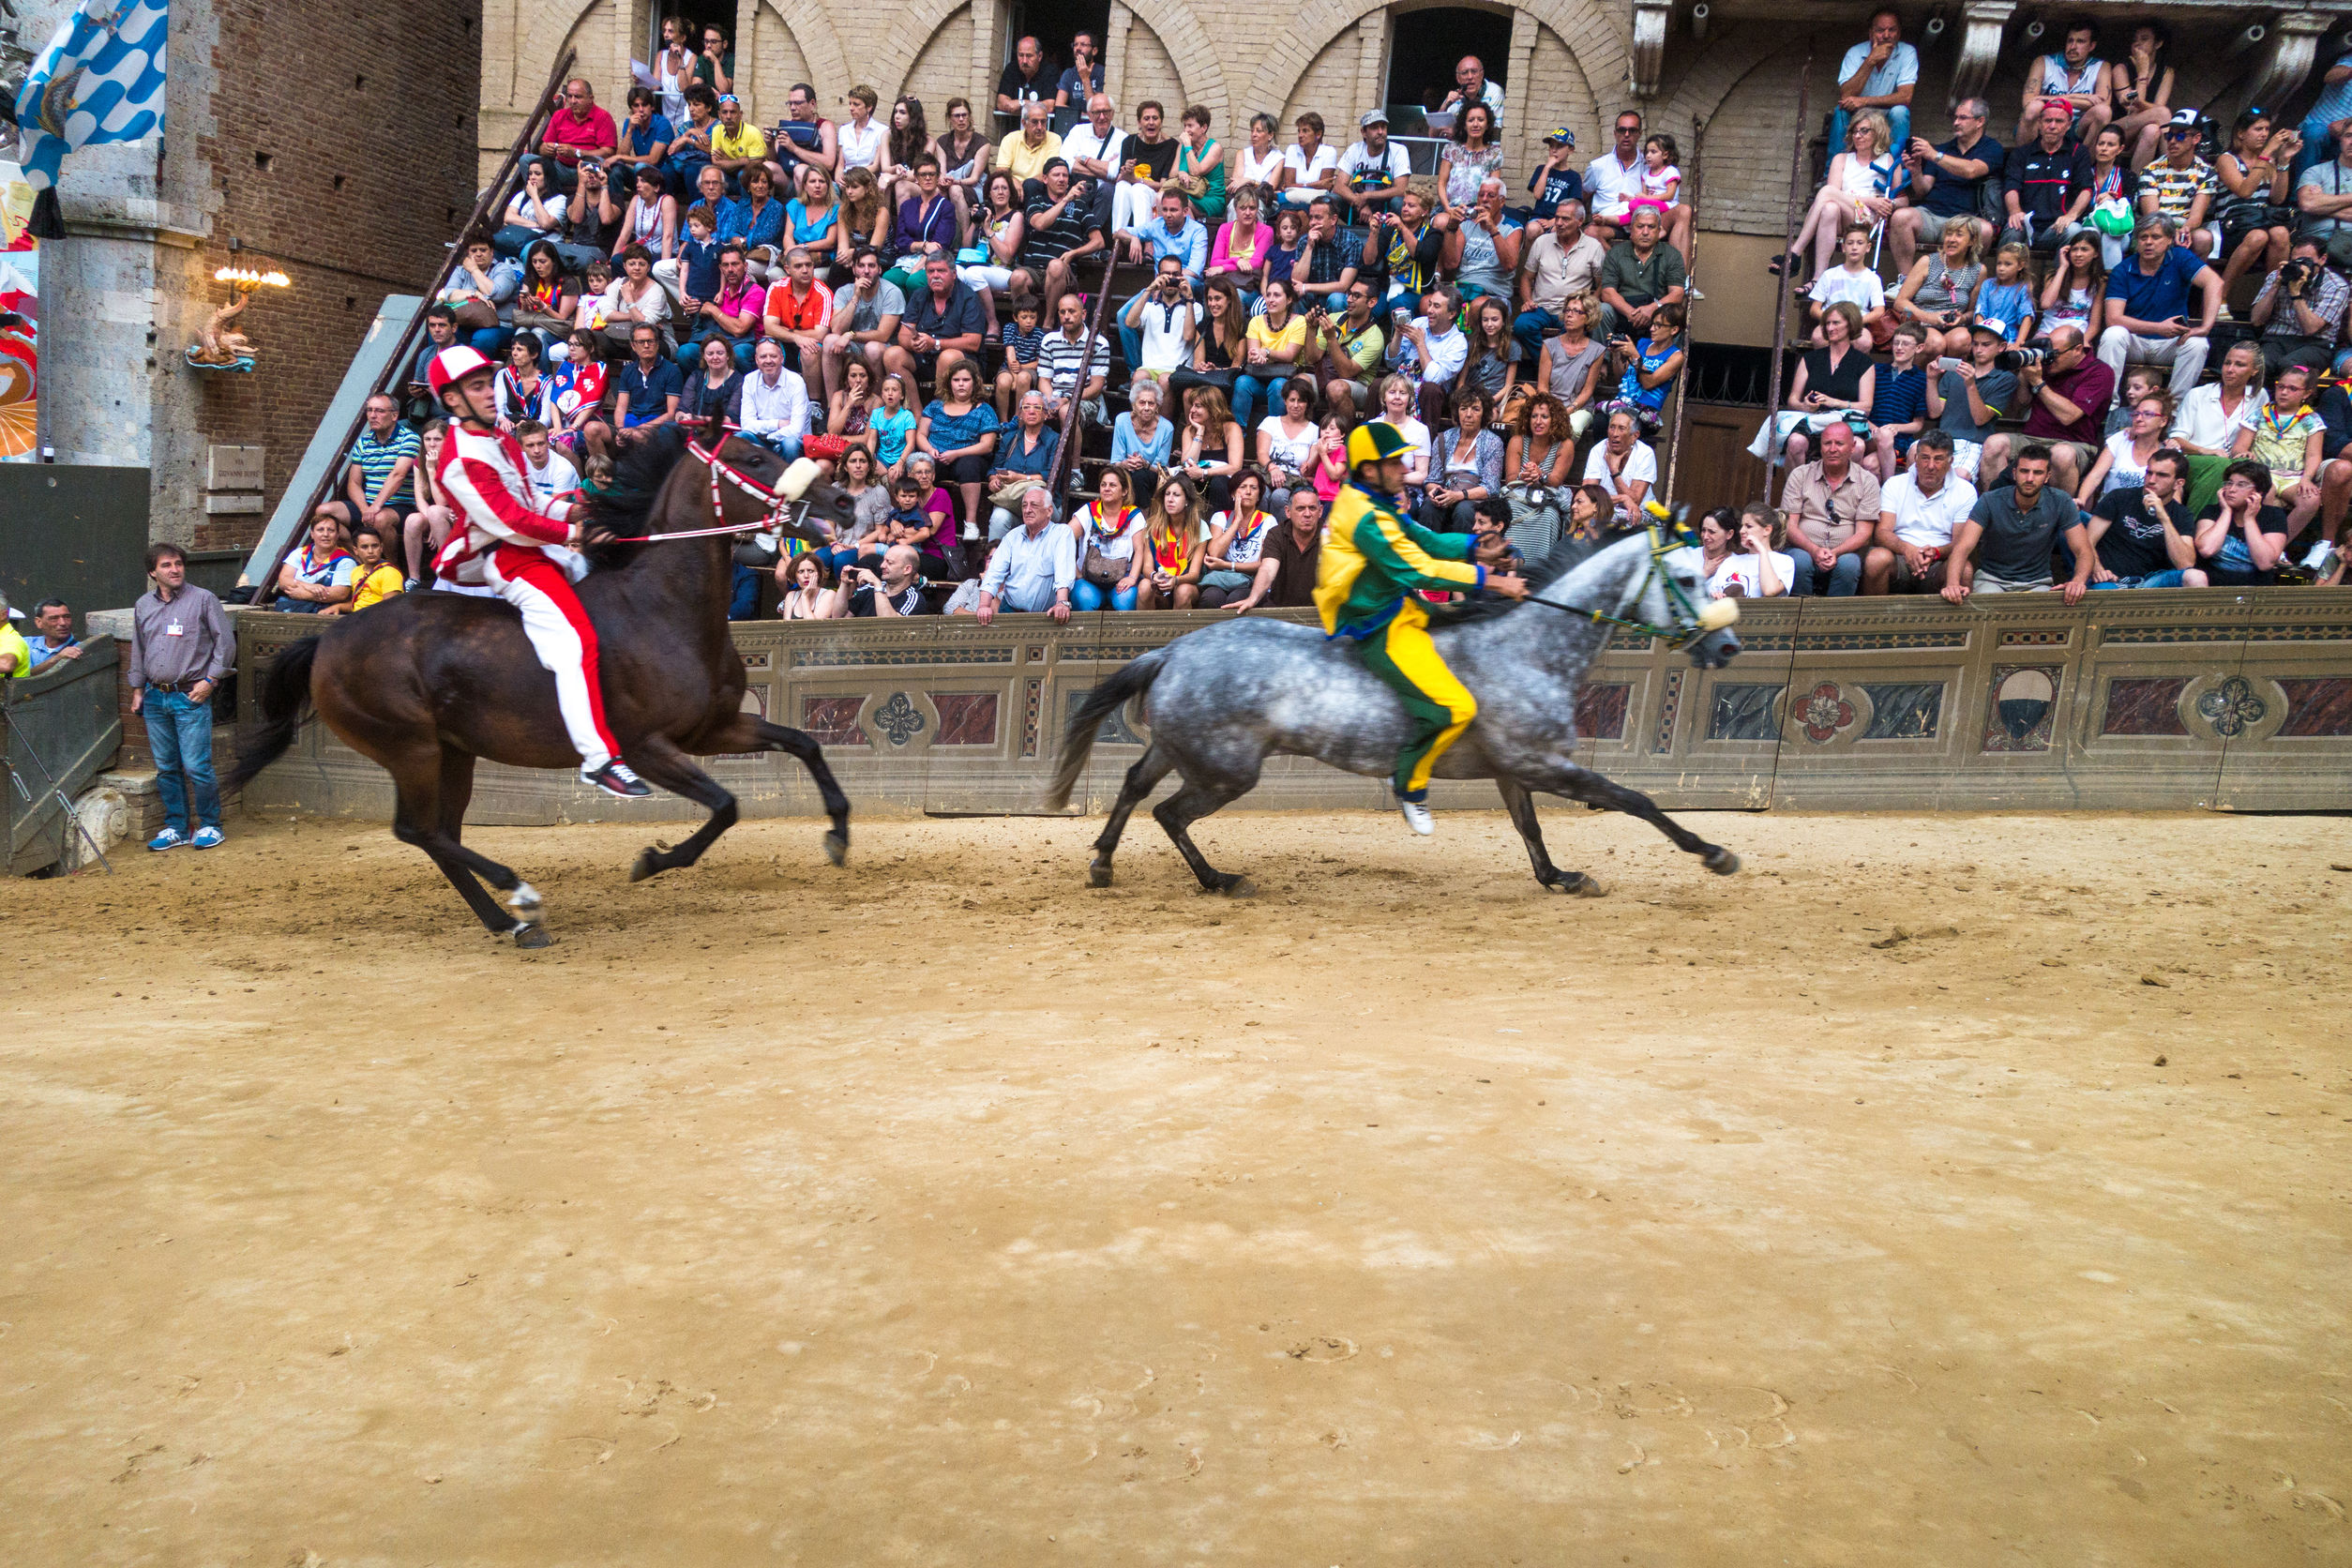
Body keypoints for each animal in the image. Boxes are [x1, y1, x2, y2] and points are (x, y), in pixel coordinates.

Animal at [222, 423, 855, 949]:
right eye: (755, 458)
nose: (843, 499)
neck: (662, 606)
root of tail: (327, 641)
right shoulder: (646, 747)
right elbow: (725, 806)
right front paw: (653, 861)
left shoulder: (714, 728)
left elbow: (804, 744)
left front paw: (839, 833)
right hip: (411, 747)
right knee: (417, 830)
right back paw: (519, 895)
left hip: (452, 752)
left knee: (439, 834)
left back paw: (509, 921)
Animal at [1048, 526, 1749, 893]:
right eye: (1688, 580)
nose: (1728, 646)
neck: (1528, 651)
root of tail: (1171, 650)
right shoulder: (1544, 764)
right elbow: (1635, 799)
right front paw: (1713, 853)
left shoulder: (1516, 770)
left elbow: (1531, 828)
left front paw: (1559, 876)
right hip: (1225, 771)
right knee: (1169, 812)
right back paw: (1218, 879)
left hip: (1178, 749)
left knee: (1136, 789)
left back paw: (1105, 862)